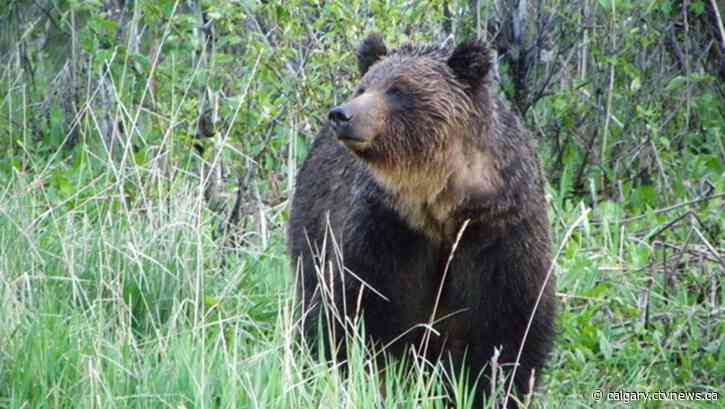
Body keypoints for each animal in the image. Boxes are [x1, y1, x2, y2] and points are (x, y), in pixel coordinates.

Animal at [287, 33, 556, 407]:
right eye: (364, 86)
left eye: (398, 89)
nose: (342, 114)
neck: (442, 204)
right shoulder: (387, 231)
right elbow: (356, 309)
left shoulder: (499, 232)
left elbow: (510, 328)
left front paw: (494, 389)